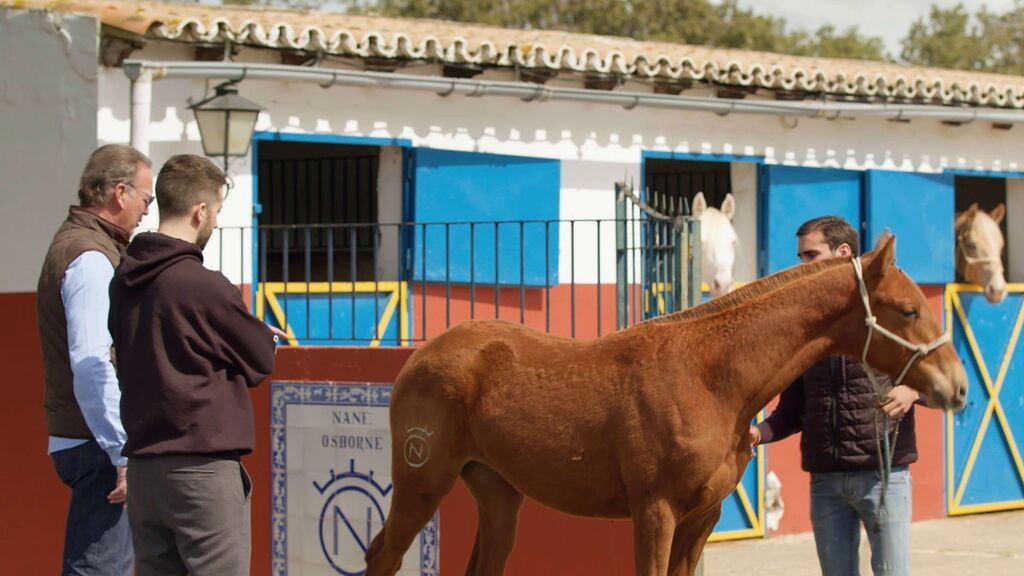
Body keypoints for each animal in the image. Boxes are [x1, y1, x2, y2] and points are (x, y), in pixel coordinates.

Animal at [368, 233, 966, 573]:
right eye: (909, 310)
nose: (957, 388)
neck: (708, 379)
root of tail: (421, 357)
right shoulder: (656, 512)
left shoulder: (702, 517)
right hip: (422, 483)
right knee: (382, 556)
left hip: (497, 493)